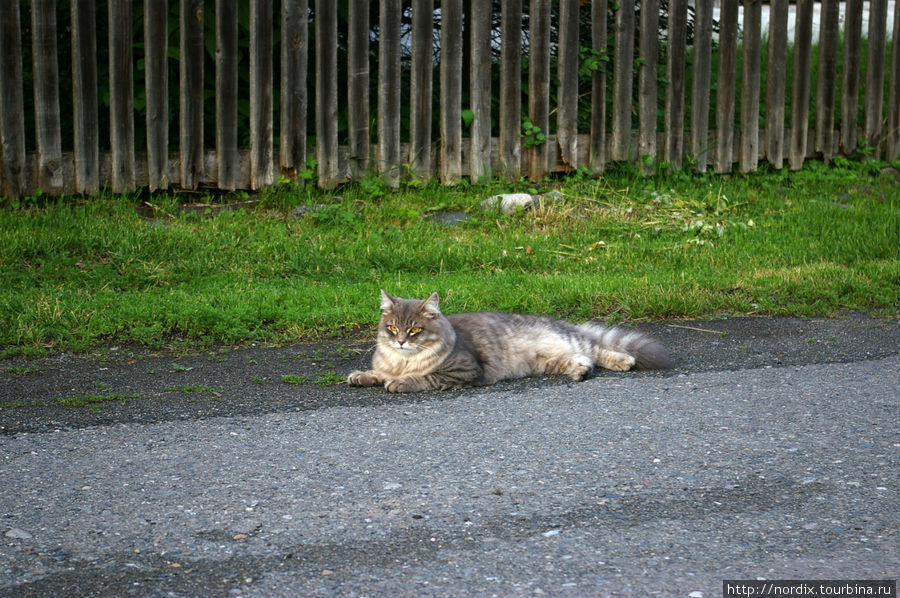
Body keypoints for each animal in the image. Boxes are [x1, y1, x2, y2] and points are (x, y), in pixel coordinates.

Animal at [348, 290, 672, 394]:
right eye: (392, 328)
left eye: (415, 330)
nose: (401, 341)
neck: (402, 360)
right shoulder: (388, 364)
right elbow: (377, 372)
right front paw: (361, 376)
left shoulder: (462, 370)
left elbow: (423, 377)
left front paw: (401, 382)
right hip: (550, 361)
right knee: (584, 360)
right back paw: (580, 372)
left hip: (572, 343)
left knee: (599, 351)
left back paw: (623, 361)